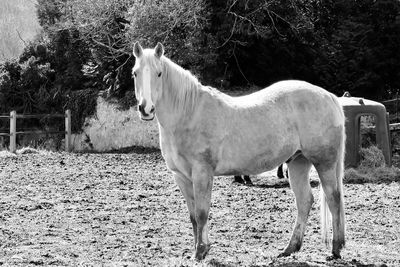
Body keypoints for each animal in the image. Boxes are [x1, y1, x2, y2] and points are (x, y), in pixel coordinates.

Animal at [133, 42, 346, 262]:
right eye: (135, 73)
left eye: (159, 73)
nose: (145, 109)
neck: (189, 113)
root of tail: (329, 97)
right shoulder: (181, 177)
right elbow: (193, 216)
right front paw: (199, 250)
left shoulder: (202, 173)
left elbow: (202, 212)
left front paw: (201, 251)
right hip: (298, 163)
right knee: (305, 201)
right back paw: (290, 248)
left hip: (324, 163)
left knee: (334, 198)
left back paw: (335, 249)